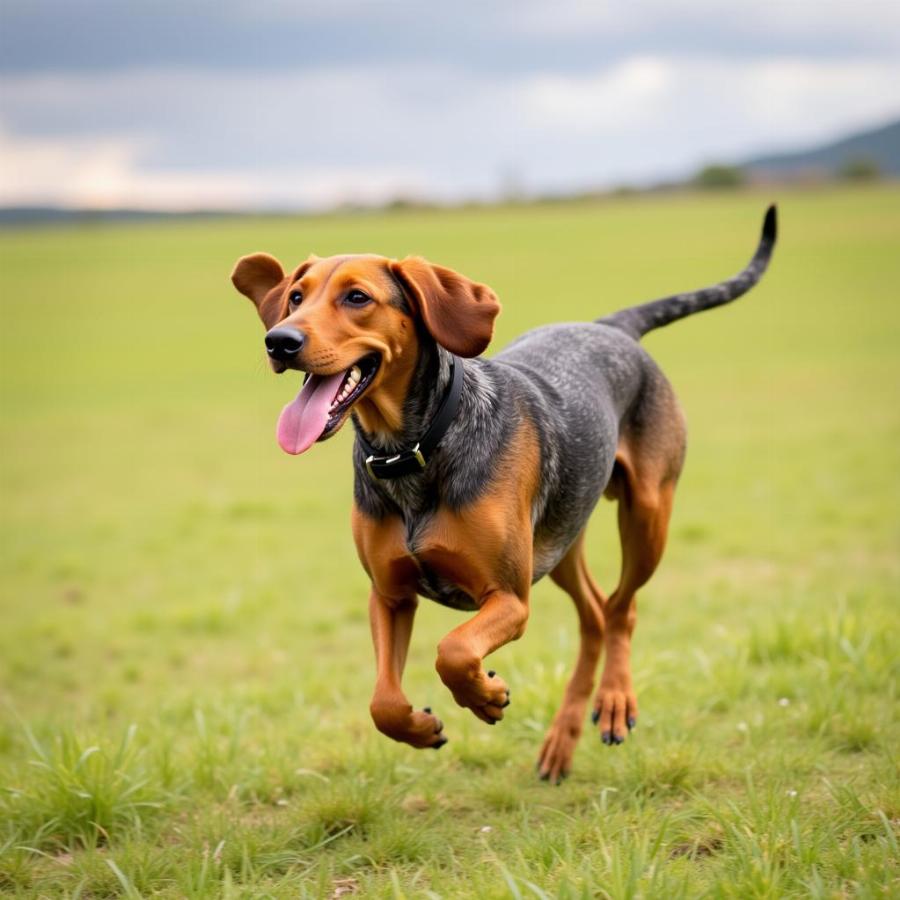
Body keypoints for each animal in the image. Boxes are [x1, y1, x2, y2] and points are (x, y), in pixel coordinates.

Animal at [230, 206, 772, 780]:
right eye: (295, 297)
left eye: (357, 297)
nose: (279, 341)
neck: (413, 448)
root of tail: (609, 327)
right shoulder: (389, 595)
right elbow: (383, 704)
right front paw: (421, 728)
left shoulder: (509, 597)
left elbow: (453, 649)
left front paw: (484, 696)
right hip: (560, 541)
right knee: (595, 615)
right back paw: (562, 738)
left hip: (647, 517)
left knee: (621, 608)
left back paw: (614, 702)